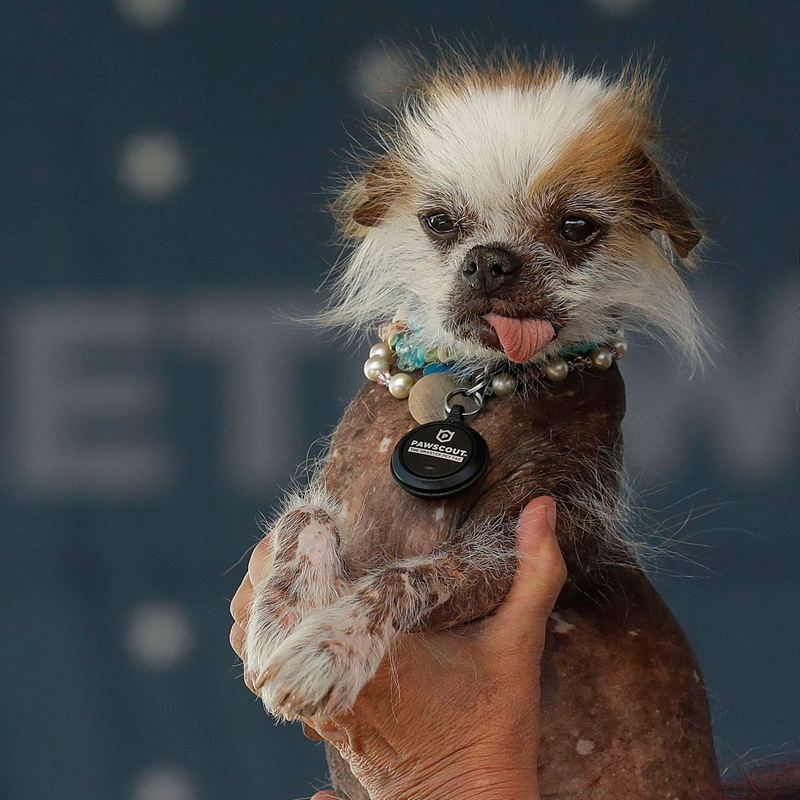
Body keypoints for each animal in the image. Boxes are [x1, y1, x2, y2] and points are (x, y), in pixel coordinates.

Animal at [236, 53, 792, 796]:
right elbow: (301, 524)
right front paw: (279, 623)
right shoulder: (339, 494)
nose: (490, 259)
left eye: (576, 227)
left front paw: (325, 651)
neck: (474, 386)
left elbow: (407, 577)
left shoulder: (516, 542)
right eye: (440, 222)